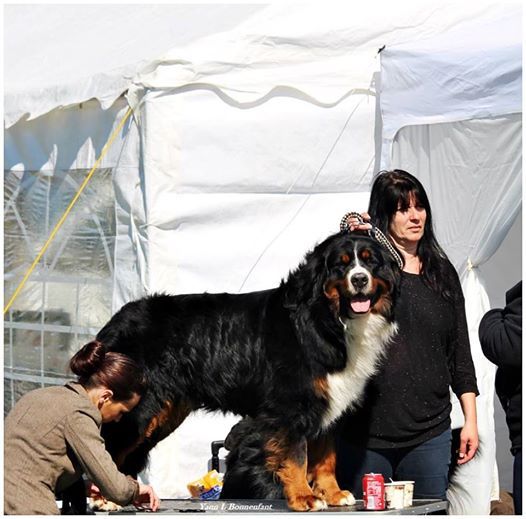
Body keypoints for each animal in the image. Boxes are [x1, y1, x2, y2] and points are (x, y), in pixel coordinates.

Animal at [96, 234, 400, 512]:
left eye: (370, 261)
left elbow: (326, 457)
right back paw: (103, 500)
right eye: (341, 264)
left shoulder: (328, 403)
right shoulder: (291, 405)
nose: (359, 279)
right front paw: (305, 497)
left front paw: (334, 494)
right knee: (107, 445)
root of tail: (117, 318)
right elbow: (297, 456)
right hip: (136, 405)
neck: (325, 320)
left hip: (164, 412)